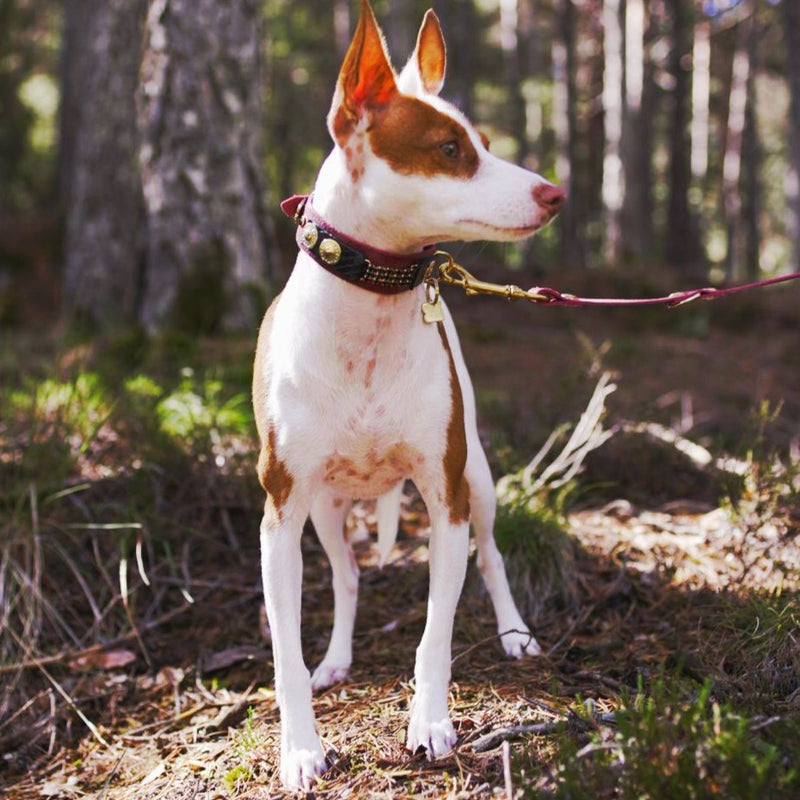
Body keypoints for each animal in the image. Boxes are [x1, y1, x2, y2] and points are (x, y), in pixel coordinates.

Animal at [253, 0, 564, 788]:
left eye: (483, 143)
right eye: (449, 149)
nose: (556, 192)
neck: (374, 309)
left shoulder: (445, 498)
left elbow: (435, 634)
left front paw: (429, 723)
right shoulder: (279, 516)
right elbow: (285, 654)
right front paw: (300, 748)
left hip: (478, 479)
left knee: (494, 559)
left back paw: (515, 633)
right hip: (326, 512)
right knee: (347, 577)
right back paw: (337, 659)